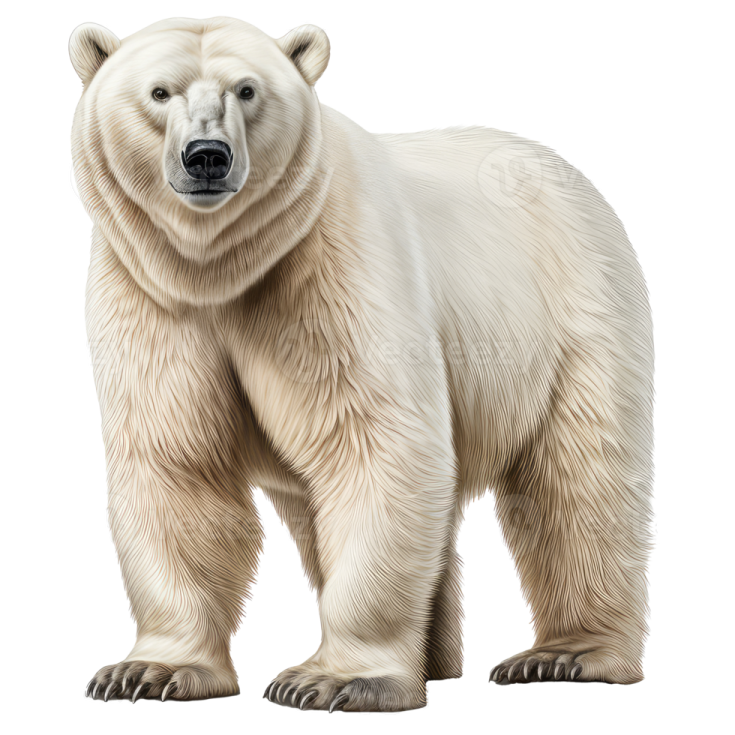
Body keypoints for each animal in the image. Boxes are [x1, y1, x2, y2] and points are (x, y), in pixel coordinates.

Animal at [69, 15, 655, 712]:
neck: (223, 268)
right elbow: (176, 460)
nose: (207, 156)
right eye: (160, 92)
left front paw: (337, 678)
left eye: (247, 89)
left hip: (575, 316)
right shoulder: (152, 295)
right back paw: (438, 659)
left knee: (577, 477)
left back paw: (567, 654)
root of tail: (568, 171)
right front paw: (150, 670)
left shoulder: (332, 269)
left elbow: (372, 440)